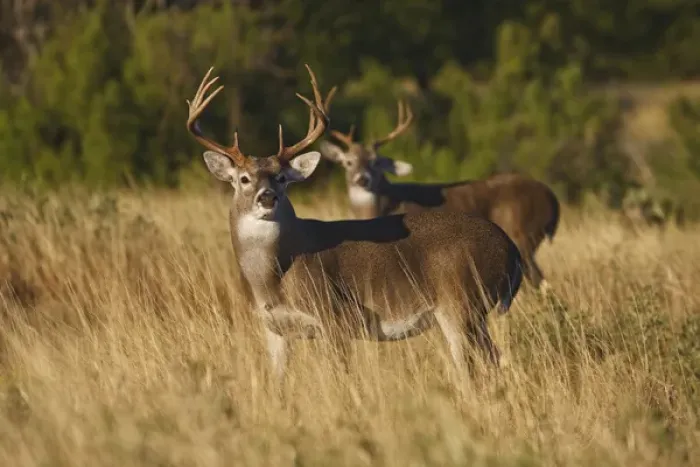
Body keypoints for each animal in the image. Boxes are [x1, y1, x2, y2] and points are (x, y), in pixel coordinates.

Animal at [186, 64, 523, 386]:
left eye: (281, 178)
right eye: (244, 179)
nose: (267, 197)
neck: (274, 277)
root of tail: (510, 248)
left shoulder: (334, 317)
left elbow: (340, 376)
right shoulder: (274, 329)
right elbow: (277, 380)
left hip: (462, 302)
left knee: (485, 364)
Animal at [319, 100, 560, 293]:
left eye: (375, 161)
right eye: (348, 162)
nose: (362, 179)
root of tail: (551, 199)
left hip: (523, 234)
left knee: (540, 281)